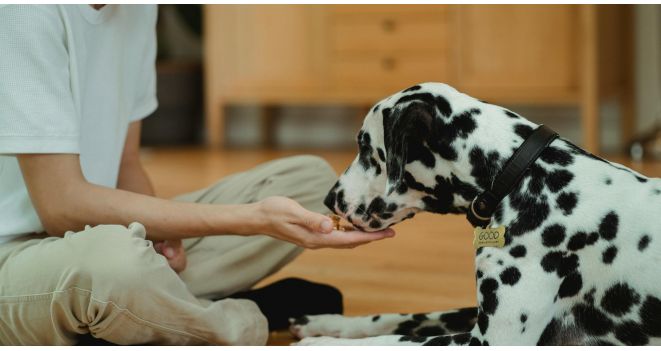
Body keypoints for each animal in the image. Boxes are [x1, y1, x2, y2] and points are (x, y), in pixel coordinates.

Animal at [288, 82, 660, 346]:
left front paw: (321, 343)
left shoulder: (489, 340)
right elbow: (400, 318)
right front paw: (326, 323)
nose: (330, 198)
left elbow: (394, 340)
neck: (520, 176)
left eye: (365, 146)